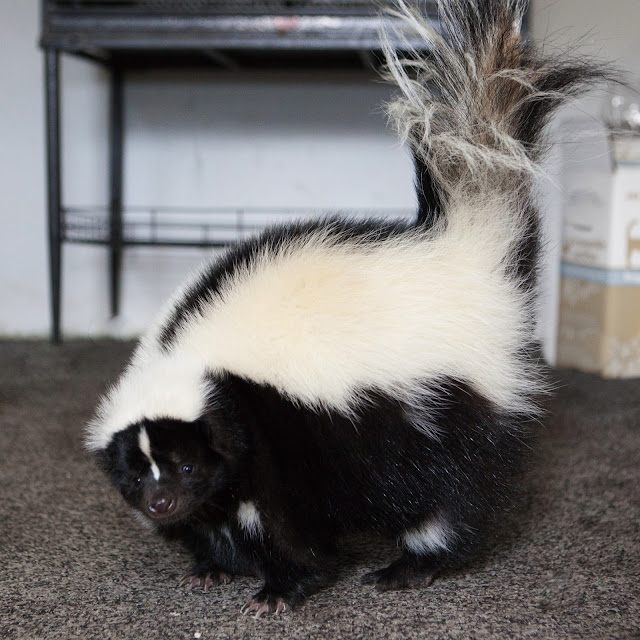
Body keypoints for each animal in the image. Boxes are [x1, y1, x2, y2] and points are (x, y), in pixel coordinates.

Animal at [86, 0, 608, 616]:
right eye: (135, 474)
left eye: (186, 464)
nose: (161, 504)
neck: (193, 361)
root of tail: (468, 255)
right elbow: (218, 517)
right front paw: (211, 566)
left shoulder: (276, 430)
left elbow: (288, 526)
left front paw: (278, 591)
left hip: (450, 414)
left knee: (454, 501)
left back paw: (409, 568)